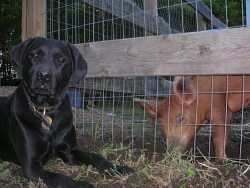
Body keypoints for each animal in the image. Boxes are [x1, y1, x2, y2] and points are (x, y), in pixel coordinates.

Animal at [0, 37, 134, 188]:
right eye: (34, 55)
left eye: (61, 59)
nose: (44, 75)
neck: (47, 109)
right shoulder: (31, 165)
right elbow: (60, 178)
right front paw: (83, 185)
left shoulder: (71, 151)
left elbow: (95, 156)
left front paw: (117, 168)